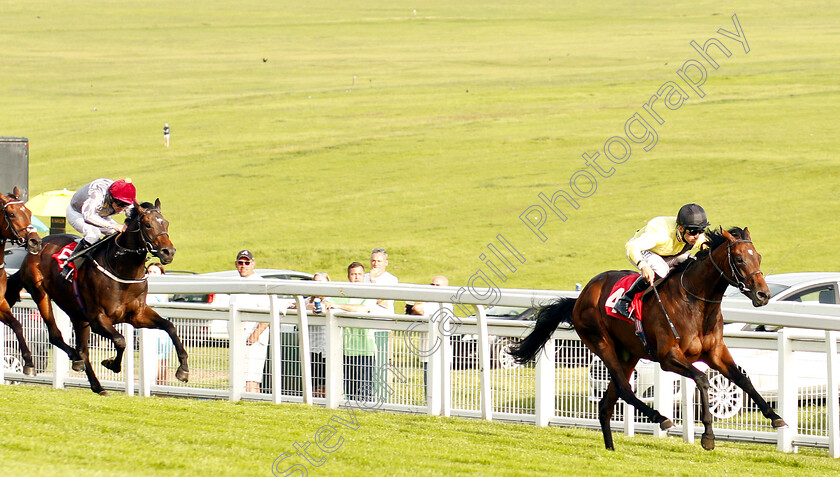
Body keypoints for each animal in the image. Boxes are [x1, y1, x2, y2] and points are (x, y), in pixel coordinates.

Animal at [5, 199, 189, 392]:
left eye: (166, 223)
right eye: (147, 225)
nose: (168, 252)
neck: (122, 270)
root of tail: (38, 246)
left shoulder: (137, 315)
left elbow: (170, 326)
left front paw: (183, 370)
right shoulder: (98, 319)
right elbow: (120, 340)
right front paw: (112, 364)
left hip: (76, 312)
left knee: (82, 349)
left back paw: (95, 383)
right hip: (41, 294)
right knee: (57, 336)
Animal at [508, 227, 792, 450]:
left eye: (759, 257)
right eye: (740, 259)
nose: (763, 294)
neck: (696, 304)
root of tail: (581, 295)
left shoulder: (715, 353)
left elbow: (742, 379)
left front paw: (775, 416)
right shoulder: (669, 357)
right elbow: (702, 379)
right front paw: (708, 437)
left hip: (628, 354)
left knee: (606, 403)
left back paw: (611, 448)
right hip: (600, 342)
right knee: (624, 389)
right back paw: (660, 417)